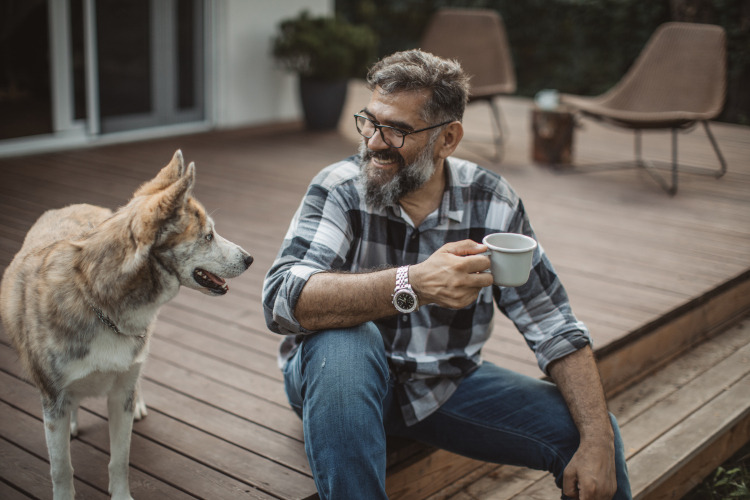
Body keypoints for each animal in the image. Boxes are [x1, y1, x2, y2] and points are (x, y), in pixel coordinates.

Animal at [0, 151, 254, 500]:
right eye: (208, 236)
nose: (250, 259)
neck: (99, 303)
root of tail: (75, 204)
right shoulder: (52, 399)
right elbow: (61, 468)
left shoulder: (120, 394)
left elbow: (120, 459)